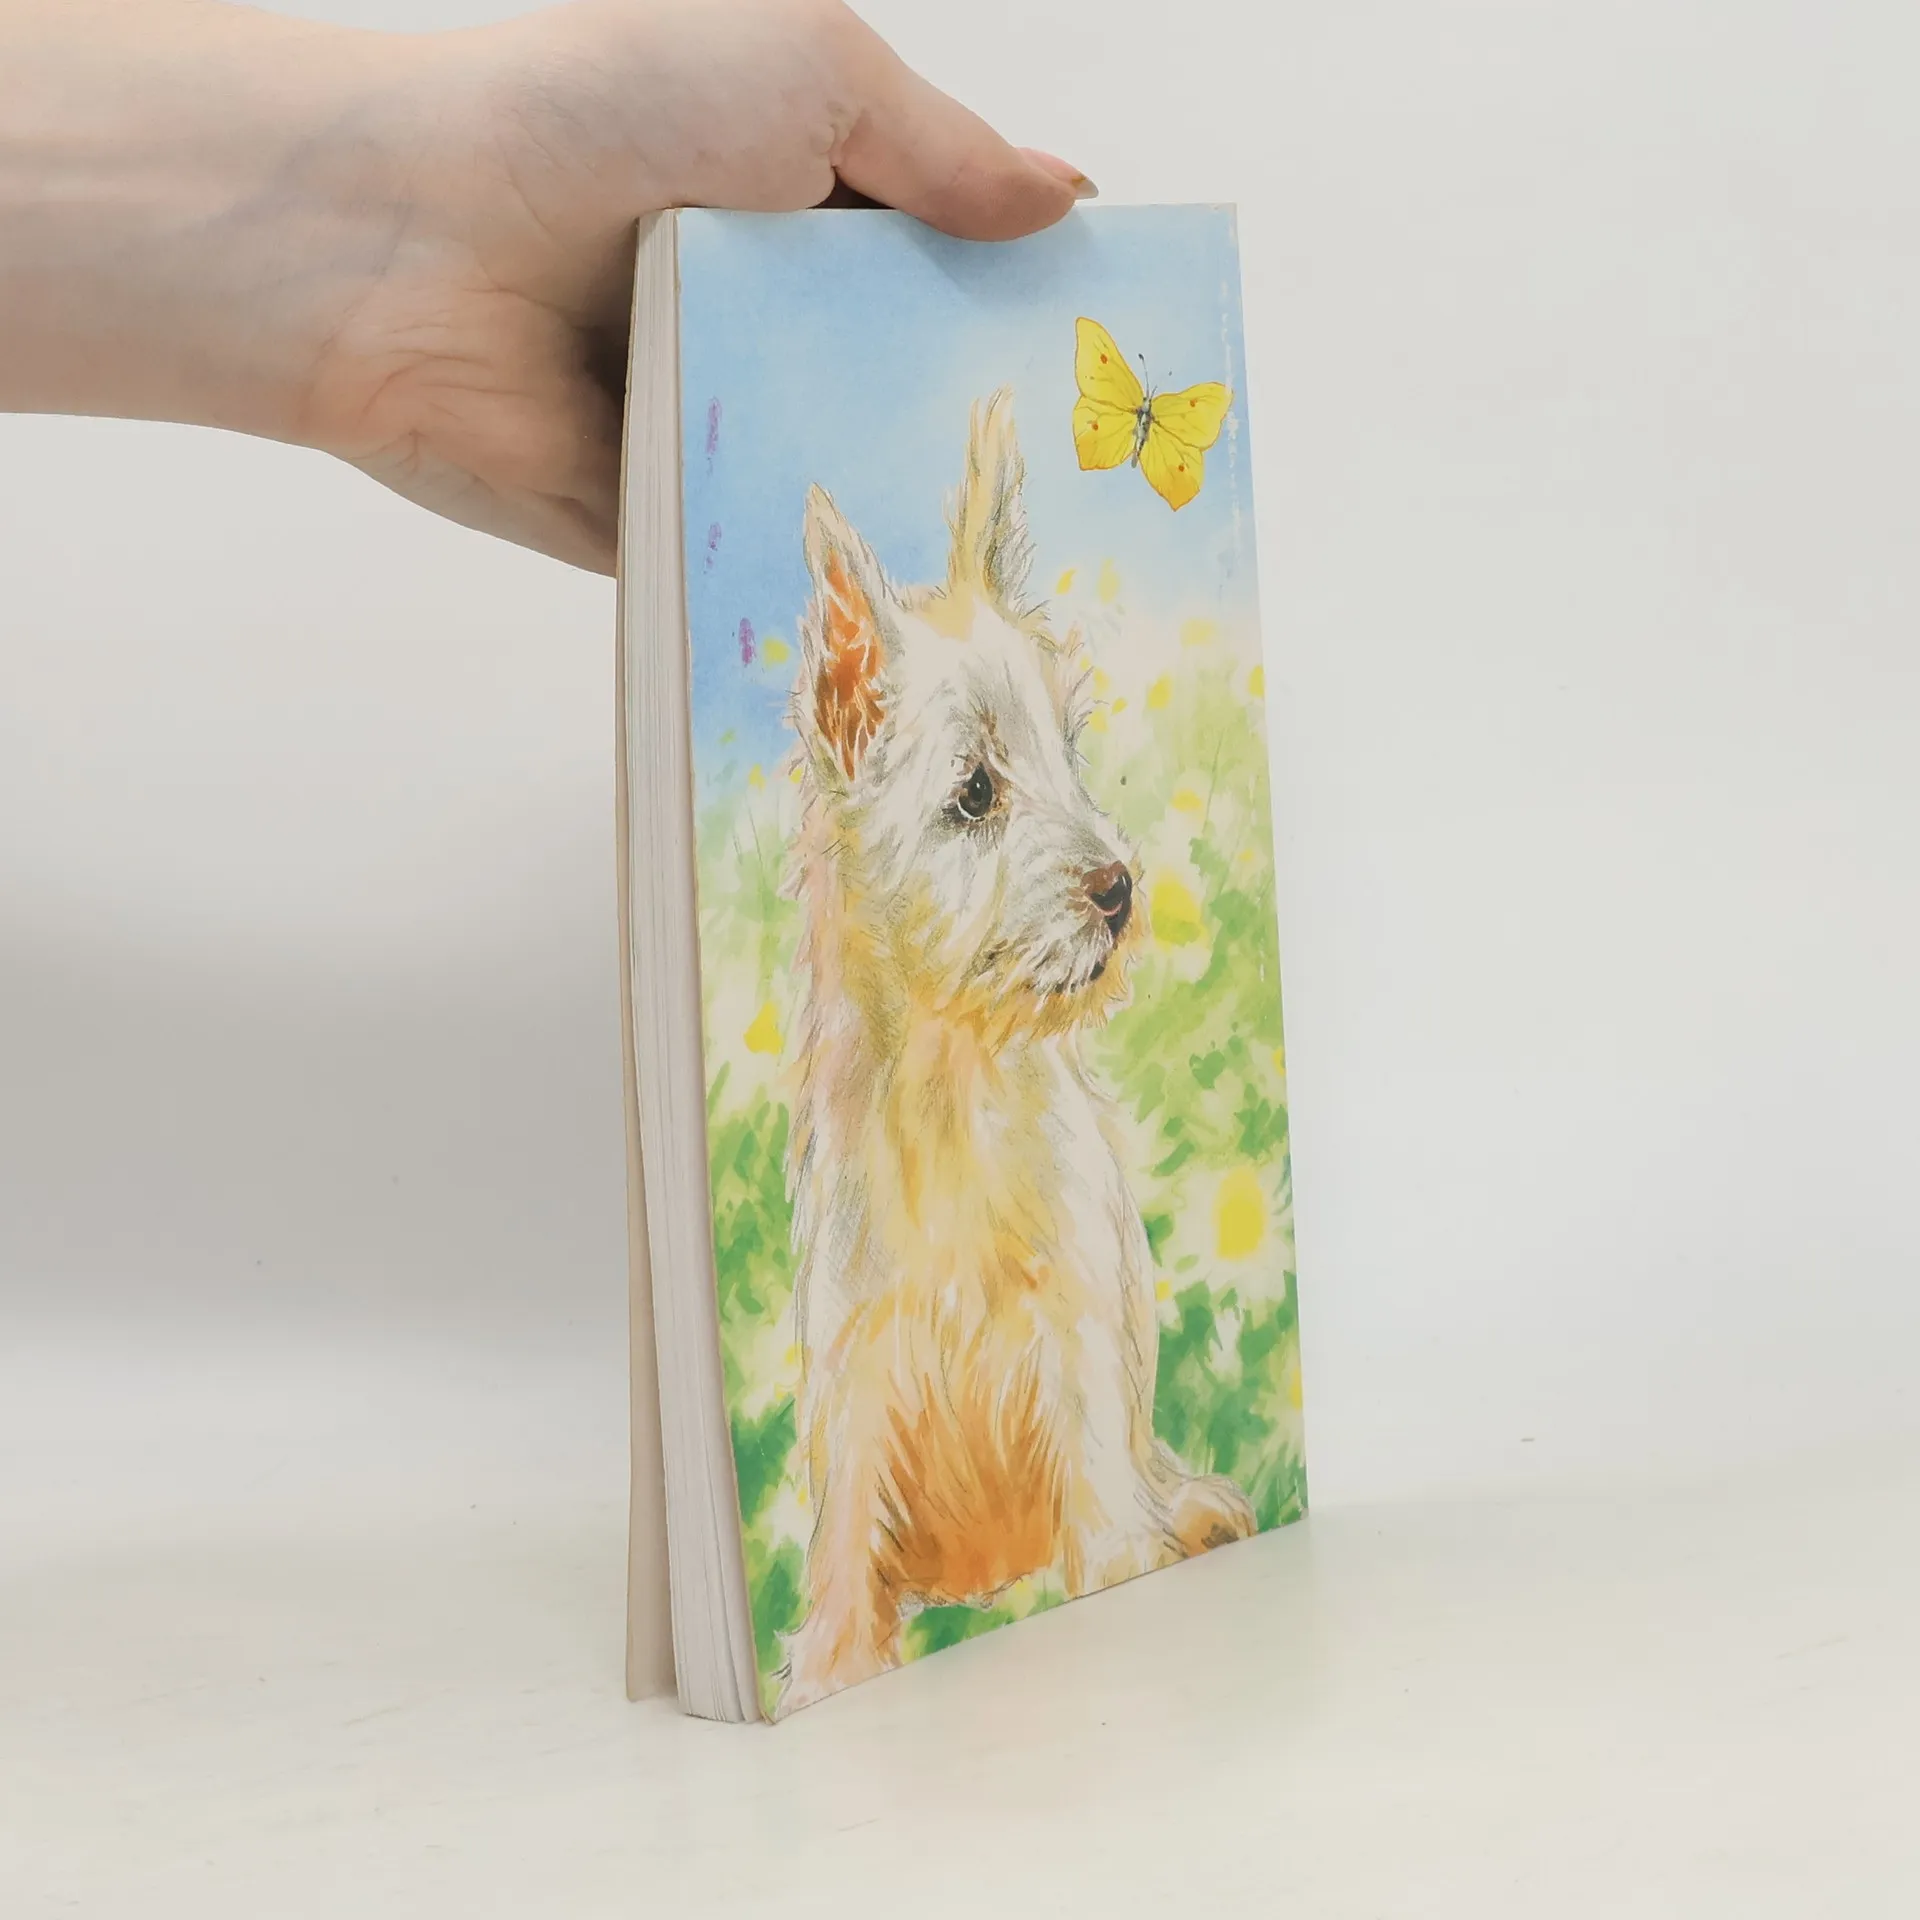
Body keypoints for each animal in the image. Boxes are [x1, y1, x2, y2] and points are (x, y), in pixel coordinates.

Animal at [777, 390, 1255, 1712]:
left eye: (1066, 750)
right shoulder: (862, 1370)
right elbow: (846, 1556)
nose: (1121, 890)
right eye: (976, 792)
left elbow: (1105, 1516)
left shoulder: (1076, 1343)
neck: (954, 1091)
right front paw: (830, 1669)